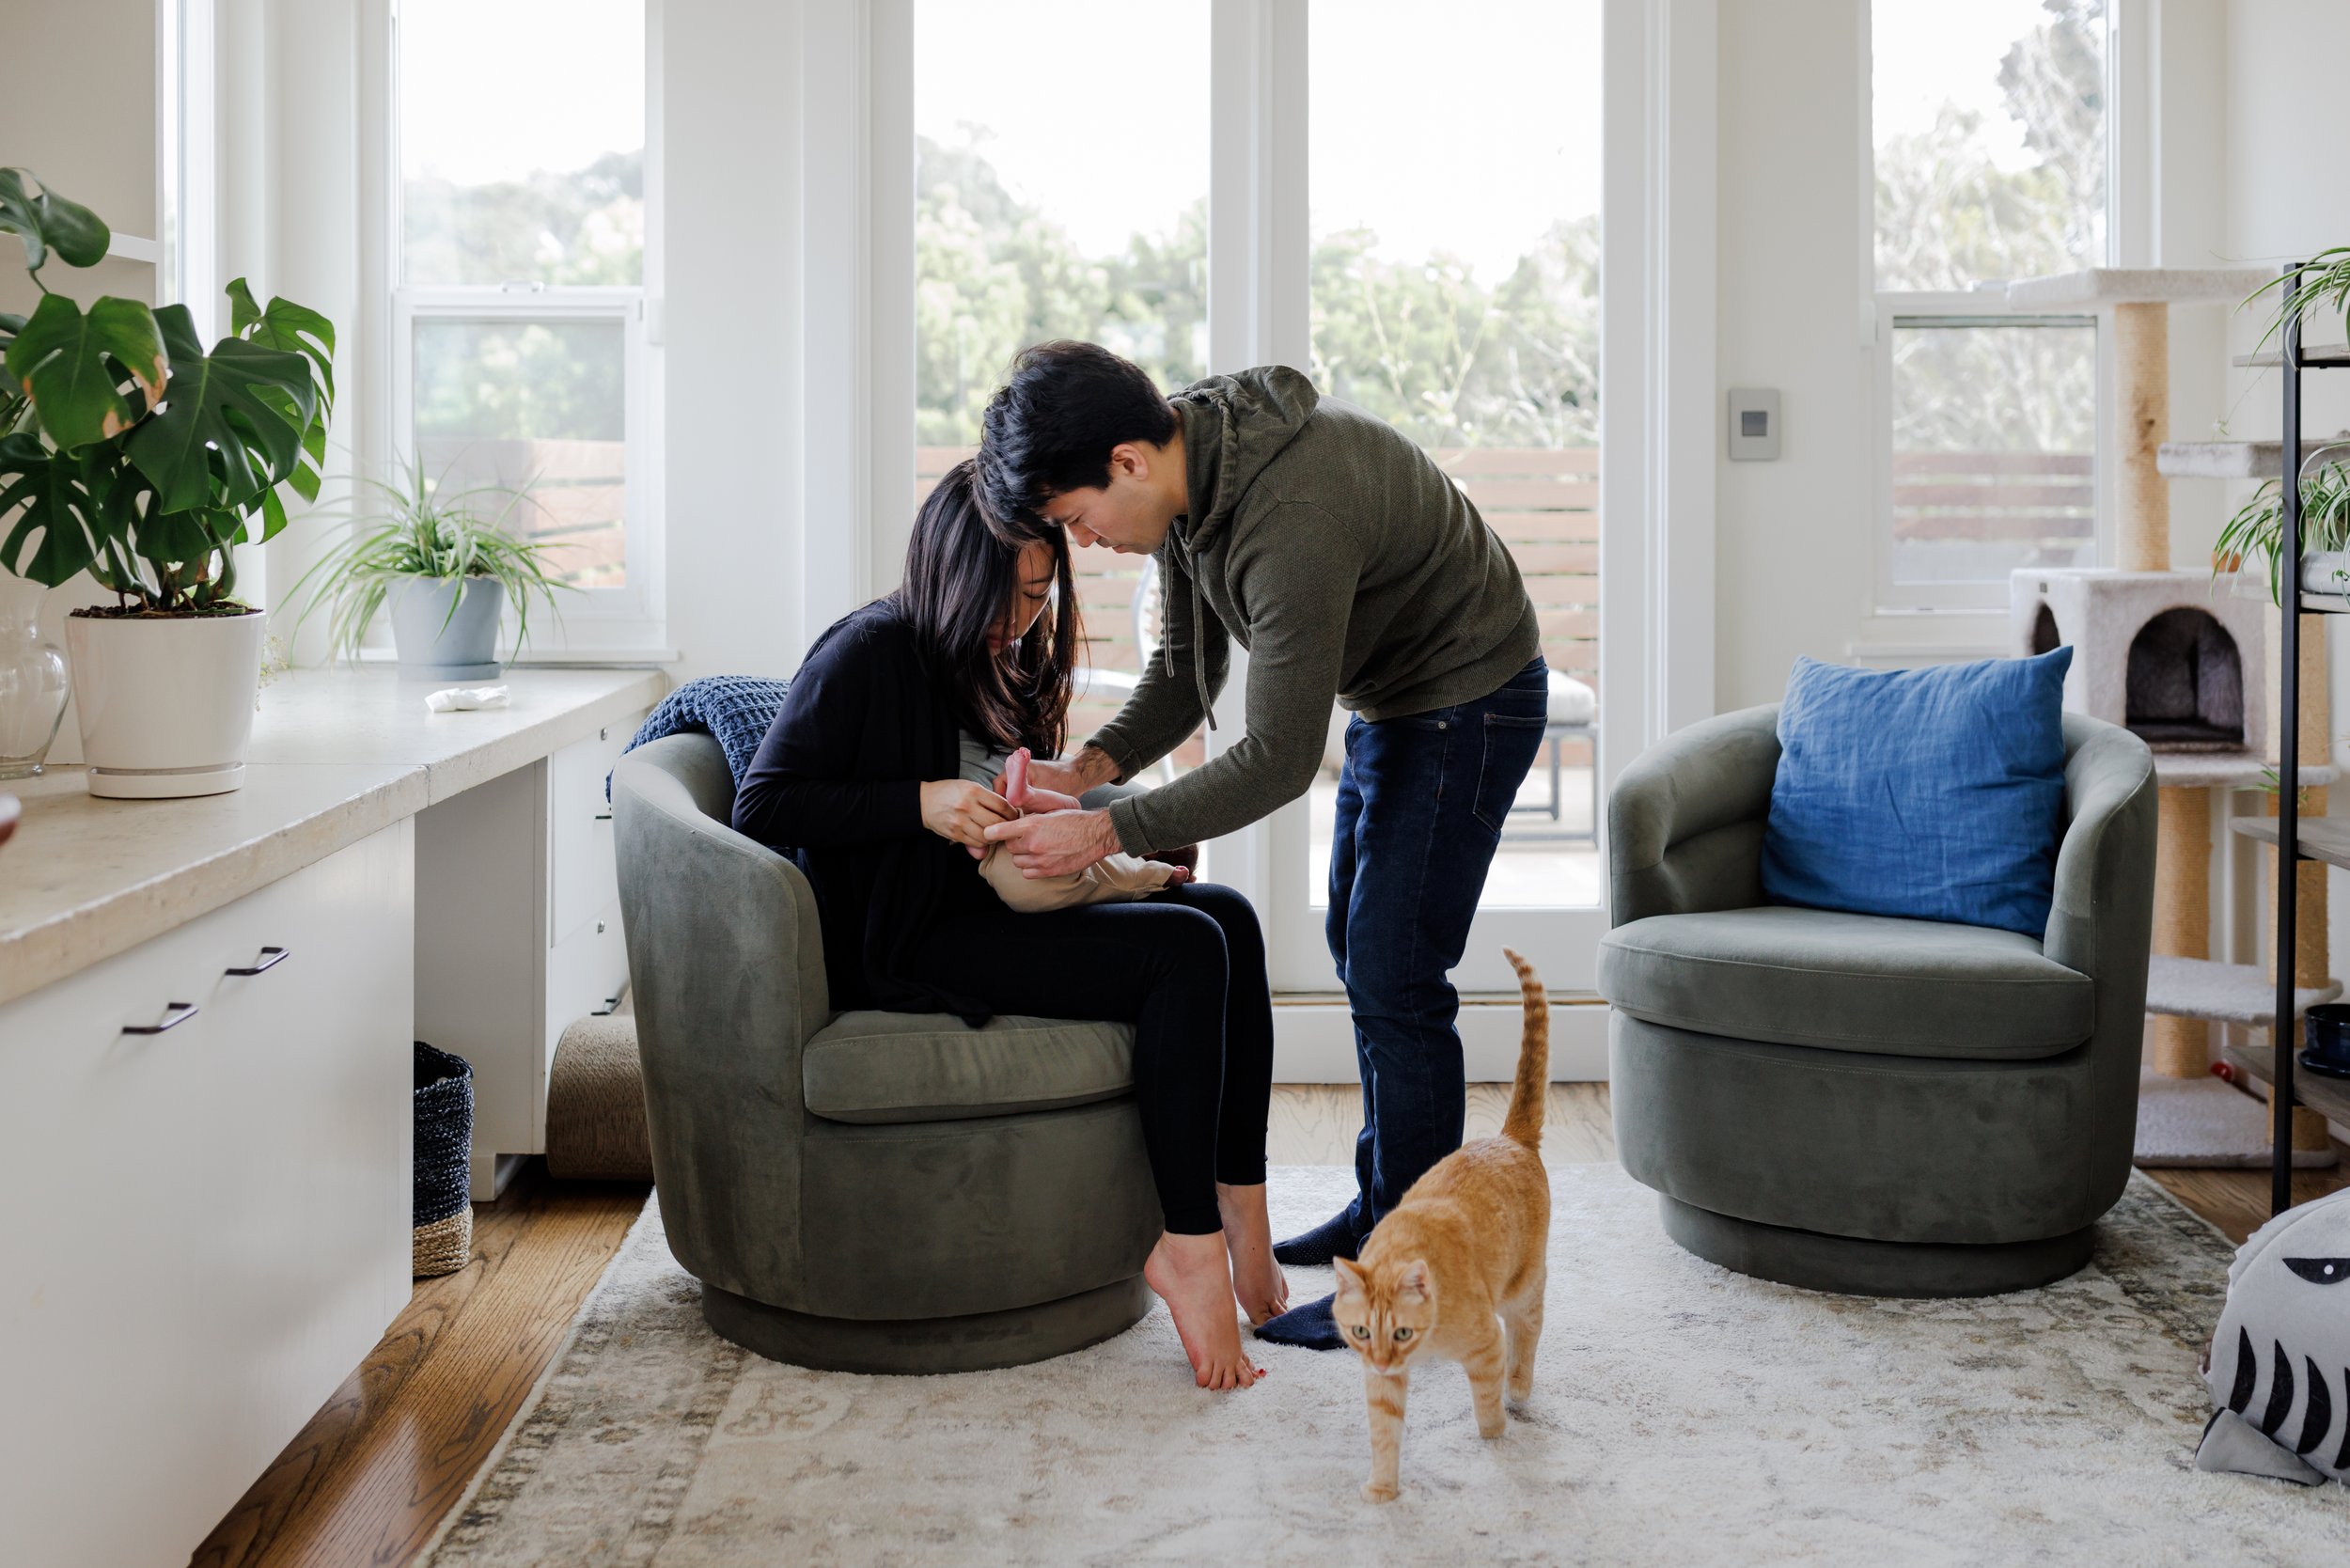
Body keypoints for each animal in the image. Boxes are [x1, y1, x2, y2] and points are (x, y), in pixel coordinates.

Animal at [1335, 945, 1551, 1504]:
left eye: (1403, 1331)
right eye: (1362, 1331)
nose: (1383, 1360)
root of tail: (1510, 1137)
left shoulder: (1485, 1341)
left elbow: (1487, 1397)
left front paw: (1495, 1433)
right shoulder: (1380, 1384)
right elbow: (1384, 1431)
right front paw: (1383, 1490)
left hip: (1523, 1285)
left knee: (1528, 1329)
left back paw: (1521, 1389)